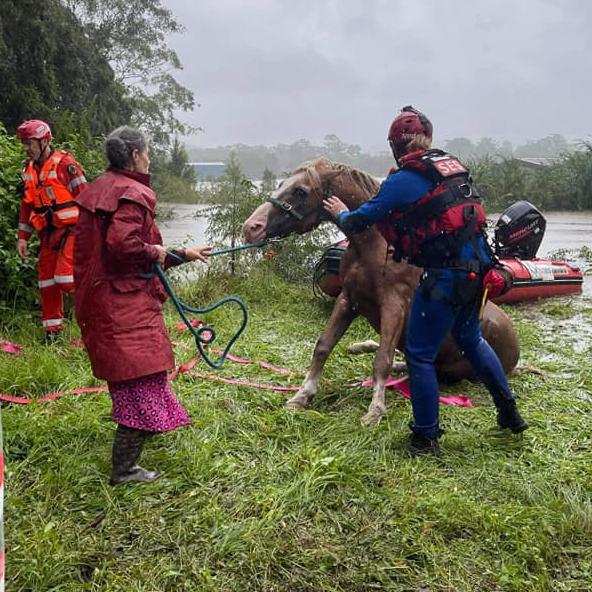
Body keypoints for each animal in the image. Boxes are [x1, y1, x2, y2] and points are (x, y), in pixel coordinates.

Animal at [242, 158, 520, 426]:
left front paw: (375, 410)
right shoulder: (348, 300)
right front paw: (301, 396)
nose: (251, 227)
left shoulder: (393, 304)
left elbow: (382, 359)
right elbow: (323, 346)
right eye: (281, 184)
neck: (374, 246)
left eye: (301, 190)